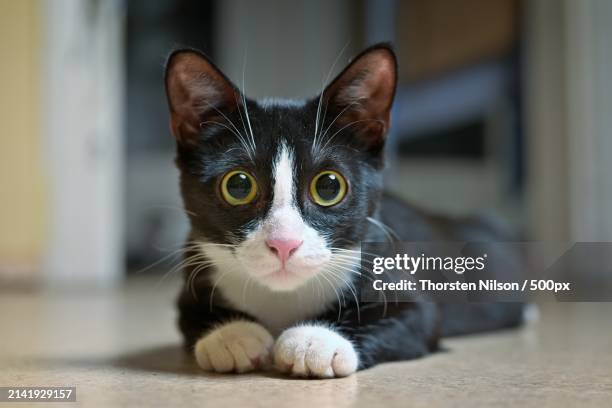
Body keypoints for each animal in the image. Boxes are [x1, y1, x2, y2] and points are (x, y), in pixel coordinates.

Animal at [165, 43, 524, 378]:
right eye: (238, 185)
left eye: (328, 186)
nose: (284, 243)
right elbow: (189, 314)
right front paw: (232, 335)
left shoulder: (403, 284)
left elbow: (415, 316)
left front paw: (316, 341)